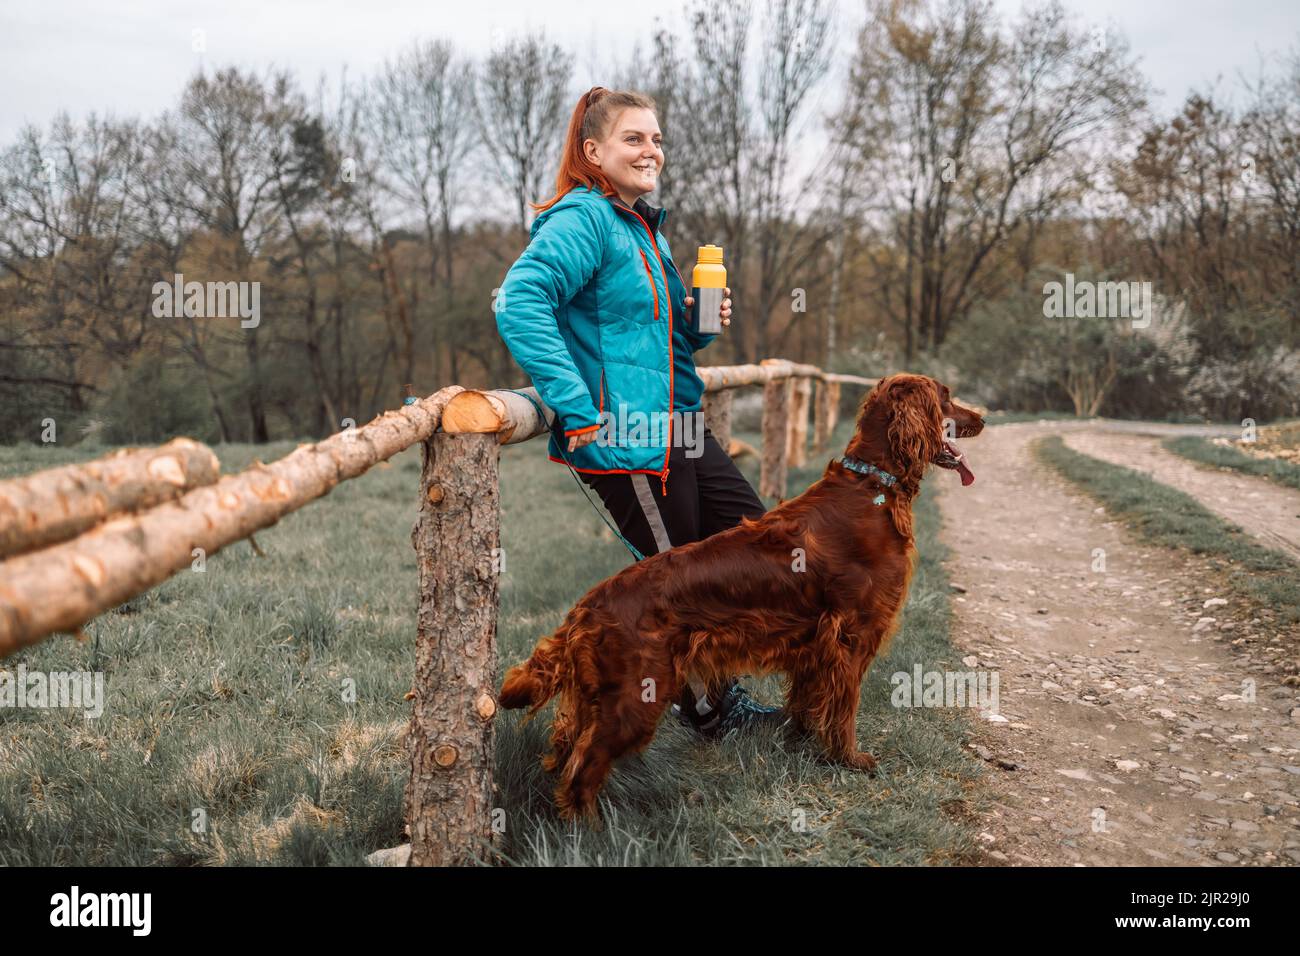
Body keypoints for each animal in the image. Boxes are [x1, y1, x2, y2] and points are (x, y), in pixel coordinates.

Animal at [496, 374, 982, 822]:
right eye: (945, 397)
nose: (981, 418)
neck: (872, 487)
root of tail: (587, 607)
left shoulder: (815, 642)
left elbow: (807, 700)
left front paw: (800, 741)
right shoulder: (852, 635)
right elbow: (844, 707)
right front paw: (848, 758)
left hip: (596, 698)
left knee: (566, 754)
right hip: (638, 695)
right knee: (583, 767)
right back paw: (593, 832)